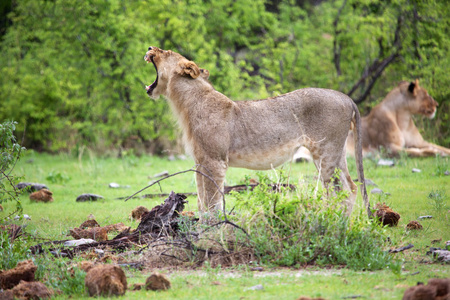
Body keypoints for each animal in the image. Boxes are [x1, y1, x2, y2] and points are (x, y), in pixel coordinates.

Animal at [143, 45, 370, 217]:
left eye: (166, 51)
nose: (149, 48)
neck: (183, 103)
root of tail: (346, 97)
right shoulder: (200, 161)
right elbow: (201, 200)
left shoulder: (214, 160)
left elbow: (212, 202)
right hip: (337, 152)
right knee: (351, 187)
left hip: (326, 153)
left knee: (338, 192)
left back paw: (333, 224)